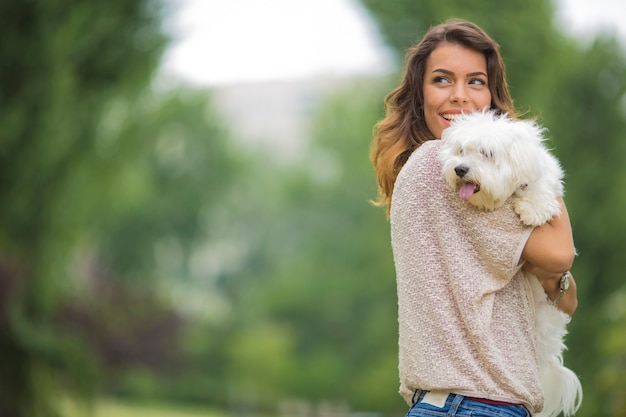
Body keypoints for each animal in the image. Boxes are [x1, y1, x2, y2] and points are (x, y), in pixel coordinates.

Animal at [438, 109, 580, 416]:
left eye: (487, 153)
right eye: (461, 151)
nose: (460, 169)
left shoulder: (543, 178)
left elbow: (541, 190)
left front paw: (533, 209)